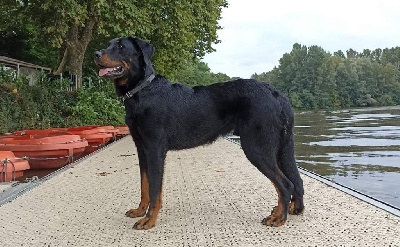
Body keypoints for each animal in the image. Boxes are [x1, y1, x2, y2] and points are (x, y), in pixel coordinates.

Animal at [94, 36, 304, 230]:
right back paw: (286, 211)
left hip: (257, 147)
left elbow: (154, 190)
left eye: (121, 46)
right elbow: (144, 186)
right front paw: (140, 211)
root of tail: (278, 95)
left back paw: (279, 218)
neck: (141, 92)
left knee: (285, 184)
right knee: (294, 181)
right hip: (277, 148)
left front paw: (149, 220)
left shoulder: (154, 150)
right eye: (109, 43)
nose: (95, 54)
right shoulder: (141, 149)